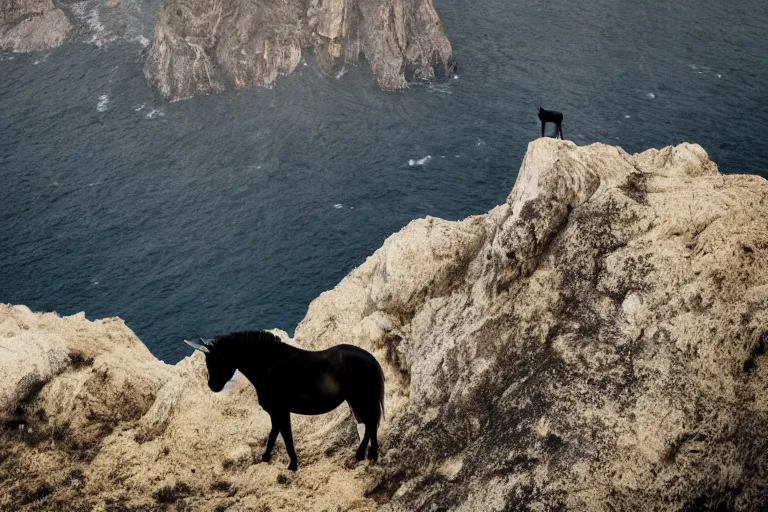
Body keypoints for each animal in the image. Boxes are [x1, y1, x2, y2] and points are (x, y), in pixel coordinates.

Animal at [183, 332, 380, 472]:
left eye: (213, 361)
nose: (212, 386)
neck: (269, 365)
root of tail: (370, 359)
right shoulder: (277, 412)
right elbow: (274, 434)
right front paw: (267, 457)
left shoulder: (279, 410)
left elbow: (284, 436)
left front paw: (292, 464)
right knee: (371, 424)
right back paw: (372, 455)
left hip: (360, 398)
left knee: (370, 423)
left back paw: (361, 454)